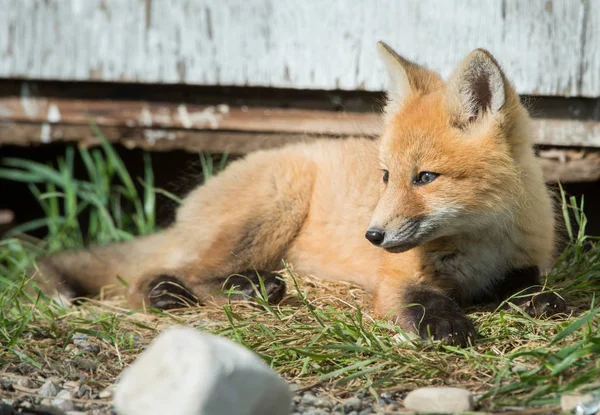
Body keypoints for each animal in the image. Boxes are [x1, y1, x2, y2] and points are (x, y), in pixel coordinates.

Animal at [32, 43, 568, 348]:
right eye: (386, 176)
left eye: (424, 178)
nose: (372, 236)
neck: (478, 244)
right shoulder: (397, 280)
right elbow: (423, 304)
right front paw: (449, 327)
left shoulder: (524, 260)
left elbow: (531, 285)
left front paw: (544, 301)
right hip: (274, 207)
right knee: (169, 272)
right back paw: (201, 292)